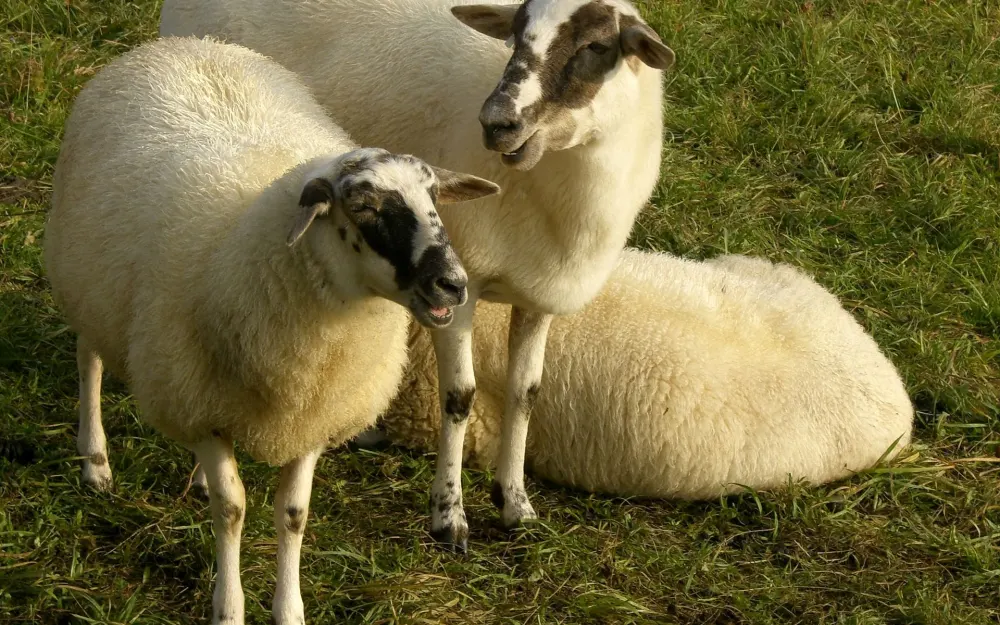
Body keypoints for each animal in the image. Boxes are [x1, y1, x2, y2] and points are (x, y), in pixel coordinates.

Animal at [43, 36, 499, 625]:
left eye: (435, 199)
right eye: (363, 206)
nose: (454, 284)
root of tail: (180, 44)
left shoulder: (314, 411)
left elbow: (293, 513)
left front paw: (289, 609)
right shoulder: (198, 403)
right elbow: (232, 509)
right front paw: (229, 607)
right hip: (86, 283)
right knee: (89, 360)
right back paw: (95, 462)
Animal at [159, 0, 677, 551]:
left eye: (597, 46)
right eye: (515, 36)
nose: (497, 122)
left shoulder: (538, 295)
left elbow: (526, 393)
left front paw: (515, 501)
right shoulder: (459, 287)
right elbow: (460, 396)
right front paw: (449, 515)